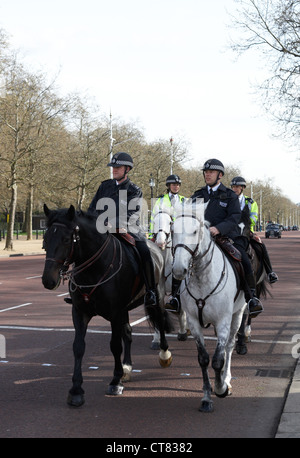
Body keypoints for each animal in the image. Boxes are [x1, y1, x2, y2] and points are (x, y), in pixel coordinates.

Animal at [42, 206, 173, 406]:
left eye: (66, 239)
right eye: (46, 239)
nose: (48, 280)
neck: (94, 269)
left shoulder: (115, 313)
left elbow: (115, 345)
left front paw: (115, 381)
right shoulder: (80, 312)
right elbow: (78, 347)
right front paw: (76, 390)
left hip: (156, 298)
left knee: (159, 320)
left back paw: (164, 355)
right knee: (128, 333)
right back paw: (127, 366)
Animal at [151, 206, 189, 348]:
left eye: (170, 222)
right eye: (154, 222)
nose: (160, 242)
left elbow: (181, 309)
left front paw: (182, 332)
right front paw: (157, 340)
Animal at [172, 202, 247, 414]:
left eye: (195, 231)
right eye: (172, 230)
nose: (179, 269)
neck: (202, 278)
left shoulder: (223, 321)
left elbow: (218, 359)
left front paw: (221, 387)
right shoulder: (194, 323)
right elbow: (204, 359)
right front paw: (207, 398)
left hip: (237, 315)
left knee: (229, 347)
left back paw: (226, 378)